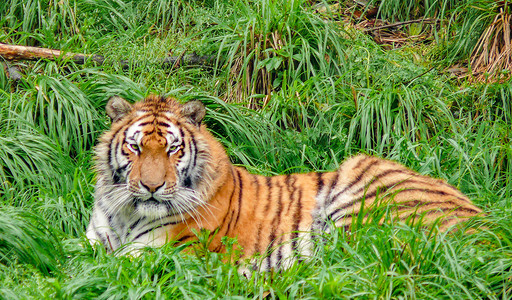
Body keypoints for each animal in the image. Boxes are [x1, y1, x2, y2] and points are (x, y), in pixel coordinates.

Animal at [86, 95, 482, 270]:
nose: (151, 187)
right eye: (135, 147)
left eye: (173, 150)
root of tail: (484, 224)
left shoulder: (159, 251)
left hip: (359, 190)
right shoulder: (93, 238)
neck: (128, 214)